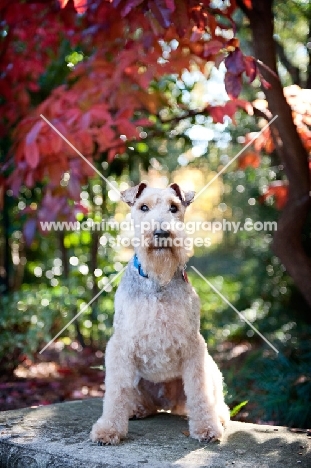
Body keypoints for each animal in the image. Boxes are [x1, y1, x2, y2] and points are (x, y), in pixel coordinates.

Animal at [91, 181, 230, 444]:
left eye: (174, 207)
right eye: (143, 207)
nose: (162, 233)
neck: (158, 279)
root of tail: (166, 402)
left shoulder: (193, 345)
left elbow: (199, 391)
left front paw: (207, 428)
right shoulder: (120, 344)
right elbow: (116, 392)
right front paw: (108, 430)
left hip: (211, 368)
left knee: (214, 398)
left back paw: (219, 417)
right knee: (134, 397)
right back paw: (135, 409)